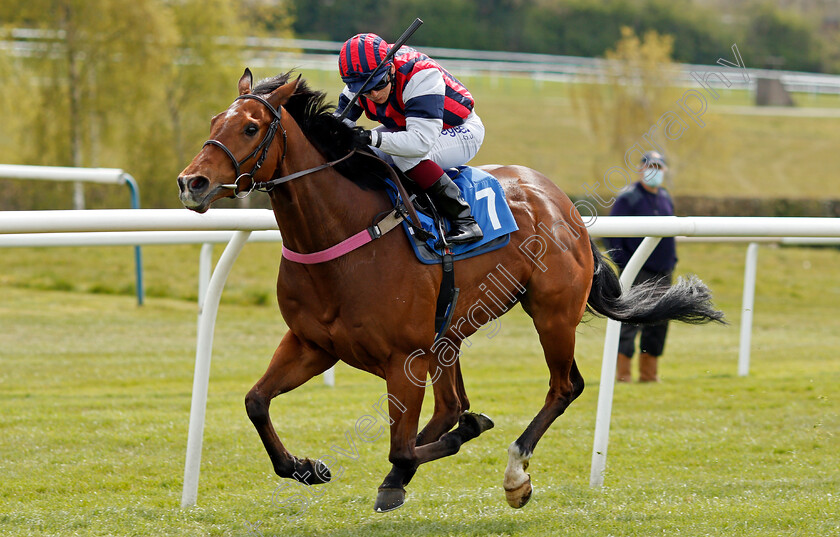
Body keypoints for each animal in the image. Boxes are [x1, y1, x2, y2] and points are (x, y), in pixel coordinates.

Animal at [176, 70, 720, 510]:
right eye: (214, 120)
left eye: (250, 127)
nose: (191, 182)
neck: (341, 234)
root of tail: (561, 202)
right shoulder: (313, 344)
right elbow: (256, 402)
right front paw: (306, 468)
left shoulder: (403, 358)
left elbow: (401, 445)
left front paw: (436, 453)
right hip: (449, 332)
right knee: (451, 405)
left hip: (551, 313)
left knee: (563, 387)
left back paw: (513, 474)